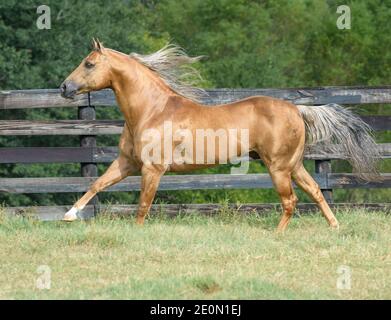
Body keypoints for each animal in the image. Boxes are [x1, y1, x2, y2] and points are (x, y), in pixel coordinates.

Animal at [60, 39, 380, 230]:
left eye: (89, 63)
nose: (64, 87)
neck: (152, 110)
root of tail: (296, 109)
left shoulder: (152, 169)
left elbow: (142, 206)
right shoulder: (127, 163)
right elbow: (96, 184)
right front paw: (69, 215)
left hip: (278, 167)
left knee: (291, 201)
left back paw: (277, 235)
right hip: (294, 165)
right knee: (315, 191)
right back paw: (335, 227)